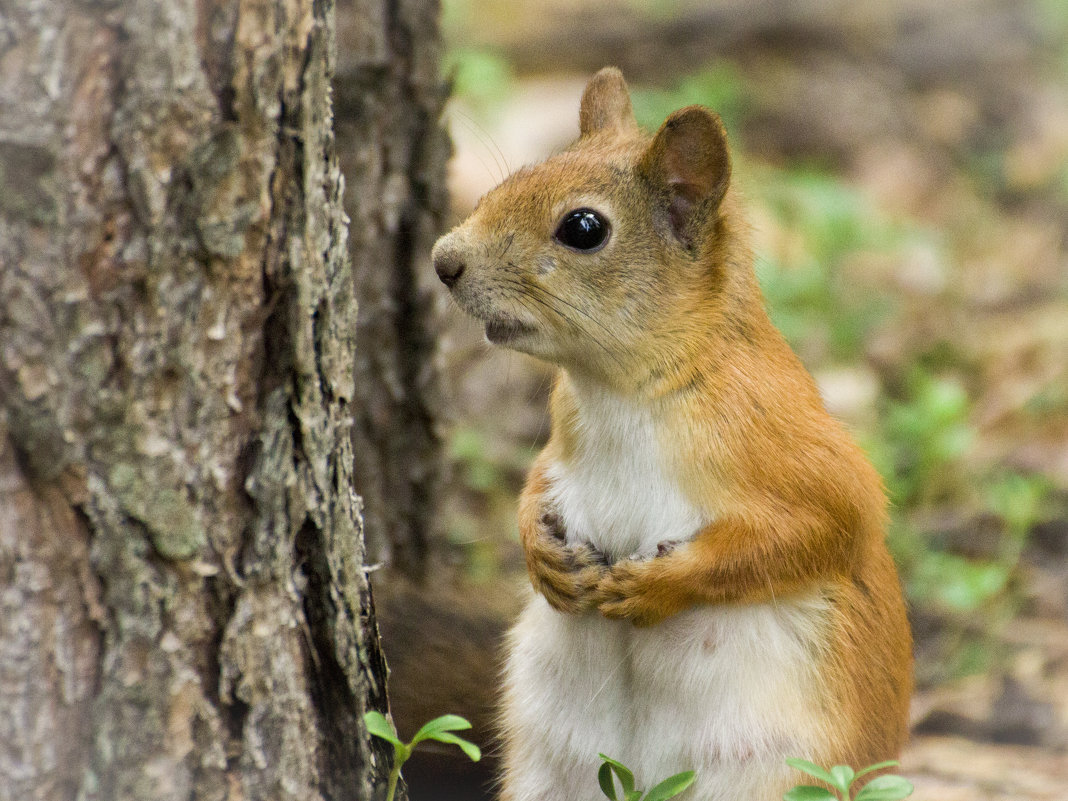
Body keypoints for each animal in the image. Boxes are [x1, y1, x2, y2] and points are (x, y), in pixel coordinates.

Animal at [429, 67, 914, 801]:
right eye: (505, 182)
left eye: (583, 228)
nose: (442, 260)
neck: (623, 393)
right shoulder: (563, 439)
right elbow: (536, 481)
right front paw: (541, 555)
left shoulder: (789, 442)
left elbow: (823, 528)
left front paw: (659, 586)